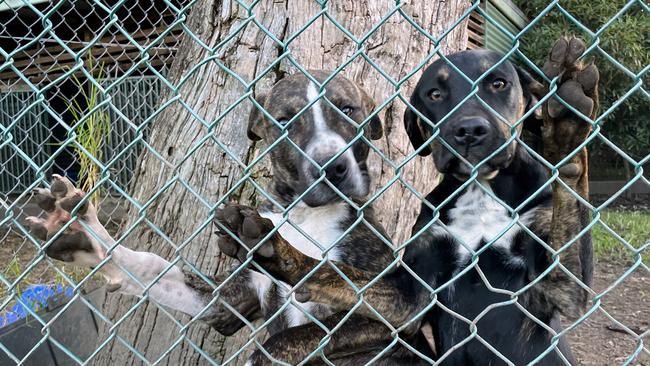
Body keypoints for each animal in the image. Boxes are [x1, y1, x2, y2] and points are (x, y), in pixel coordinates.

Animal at [214, 36, 596, 364]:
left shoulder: (564, 287)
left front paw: (567, 129)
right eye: (435, 93)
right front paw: (273, 249)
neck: (480, 190)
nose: (469, 131)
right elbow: (333, 273)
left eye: (499, 84)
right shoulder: (408, 295)